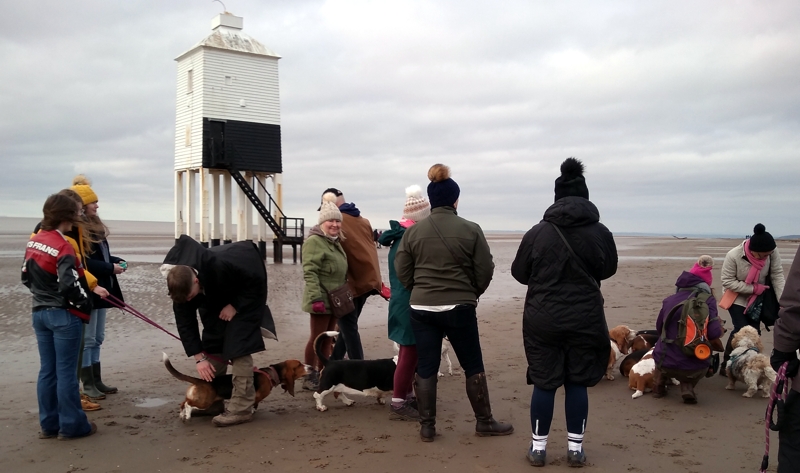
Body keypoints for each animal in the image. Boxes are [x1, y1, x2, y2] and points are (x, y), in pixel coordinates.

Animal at [162, 350, 306, 420]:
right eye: (299, 365)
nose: (310, 367)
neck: (271, 373)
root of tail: (200, 380)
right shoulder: (257, 396)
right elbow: (253, 404)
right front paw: (249, 412)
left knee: (183, 403)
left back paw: (183, 414)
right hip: (205, 401)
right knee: (188, 404)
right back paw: (188, 414)